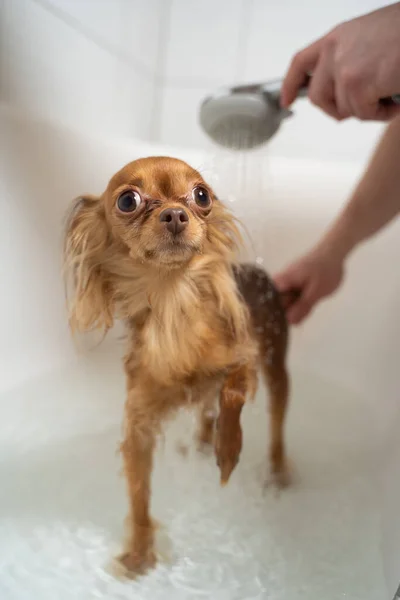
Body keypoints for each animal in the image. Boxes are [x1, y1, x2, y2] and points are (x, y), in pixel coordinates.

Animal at [63, 157, 294, 576]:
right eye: (128, 201)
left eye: (202, 196)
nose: (174, 213)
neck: (173, 307)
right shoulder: (138, 427)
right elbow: (139, 495)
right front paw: (139, 552)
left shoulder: (244, 361)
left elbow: (232, 392)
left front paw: (228, 451)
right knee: (205, 408)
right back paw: (202, 442)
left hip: (276, 370)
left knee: (275, 426)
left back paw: (275, 472)